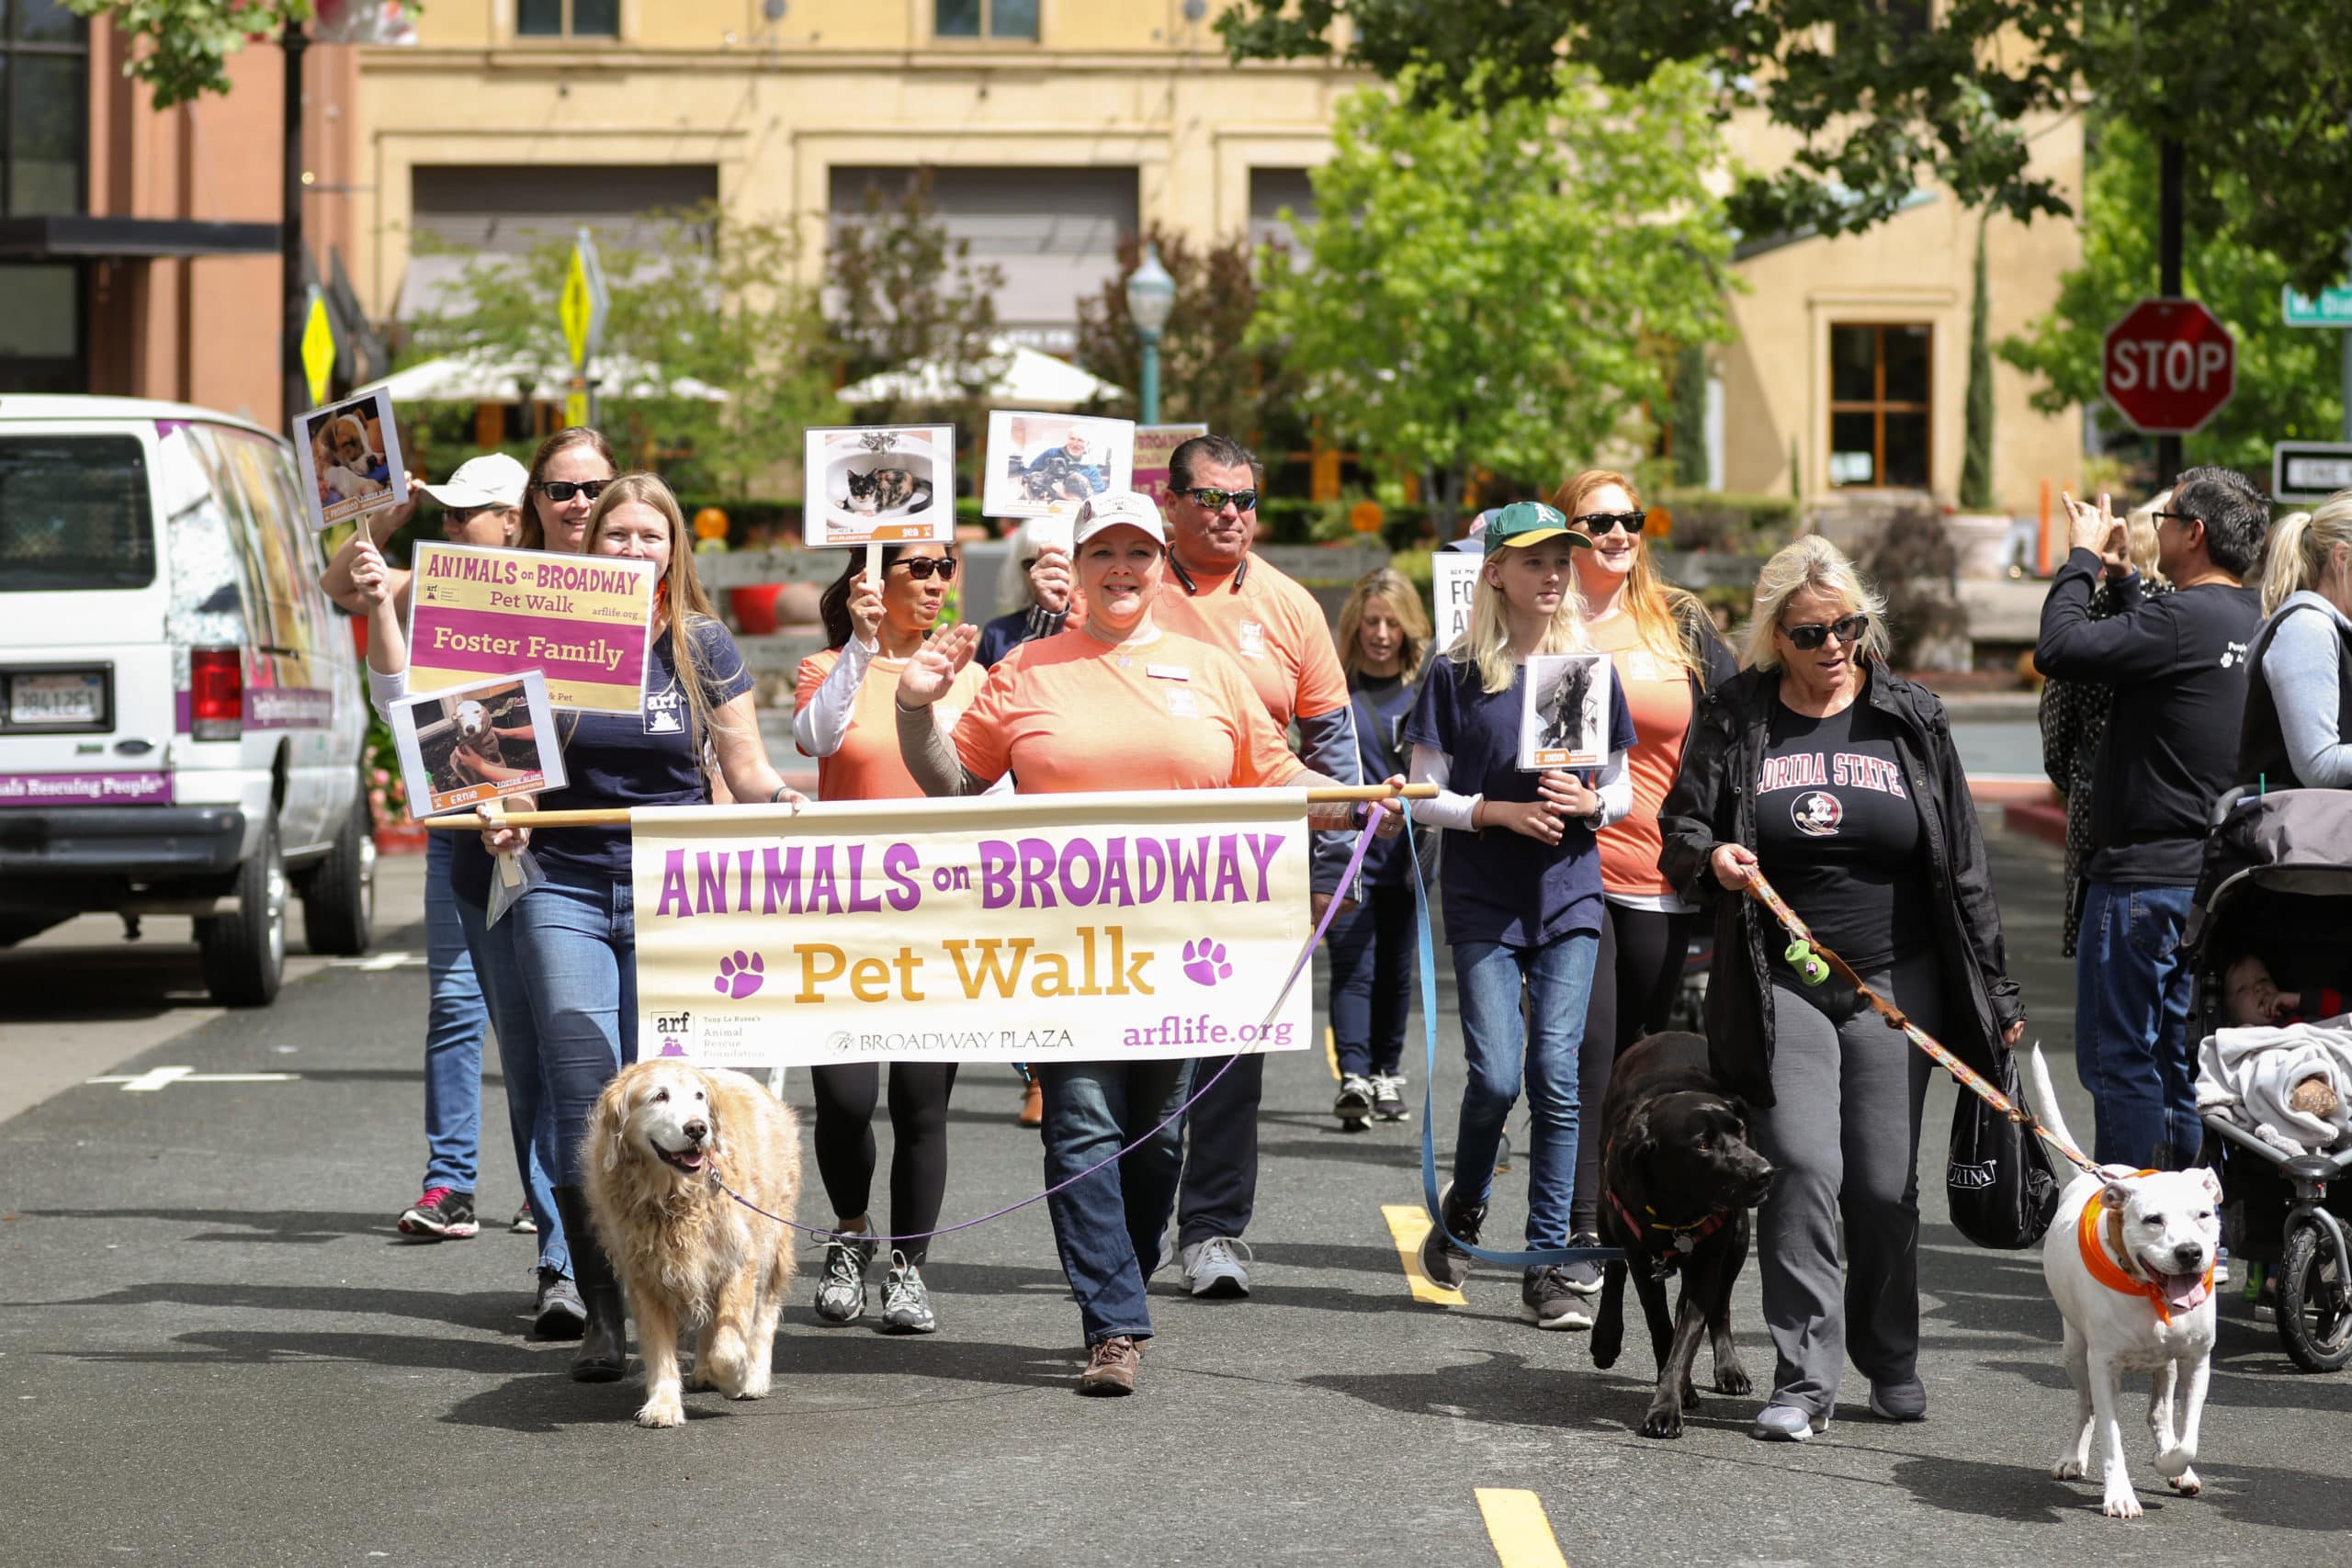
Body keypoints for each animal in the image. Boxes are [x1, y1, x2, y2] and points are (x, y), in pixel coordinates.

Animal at [582, 1062, 804, 1429]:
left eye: (699, 1096)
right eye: (660, 1096)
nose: (698, 1128)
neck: (674, 1197)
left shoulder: (738, 1261)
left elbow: (729, 1348)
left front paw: (735, 1378)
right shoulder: (646, 1279)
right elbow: (659, 1349)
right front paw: (663, 1404)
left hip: (773, 1239)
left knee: (764, 1314)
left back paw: (753, 1375)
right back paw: (703, 1369)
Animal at [2022, 1048, 2220, 1514]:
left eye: (2204, 1215)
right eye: (2152, 1220)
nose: (2190, 1252)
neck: (2149, 1291)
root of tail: (2094, 1172)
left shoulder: (2197, 1361)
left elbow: (2188, 1435)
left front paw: (2172, 1464)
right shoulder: (2104, 1363)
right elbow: (2111, 1433)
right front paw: (2120, 1496)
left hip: (2166, 1365)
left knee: (2158, 1412)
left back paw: (2174, 1463)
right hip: (2075, 1354)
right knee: (2086, 1408)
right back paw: (2072, 1458)